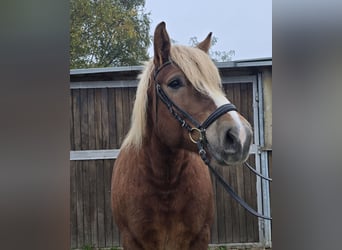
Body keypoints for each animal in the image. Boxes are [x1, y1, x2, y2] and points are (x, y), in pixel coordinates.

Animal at [111, 22, 252, 250]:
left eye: (216, 85)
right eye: (175, 83)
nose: (240, 135)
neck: (164, 183)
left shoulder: (200, 237)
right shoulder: (131, 240)